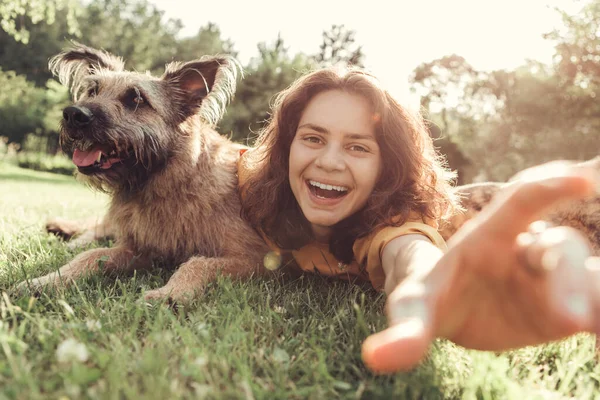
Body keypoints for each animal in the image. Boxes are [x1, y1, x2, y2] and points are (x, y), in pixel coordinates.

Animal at [15, 44, 268, 304]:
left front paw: (169, 295)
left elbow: (197, 264)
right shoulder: (138, 250)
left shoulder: (252, 259)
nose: (73, 114)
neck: (168, 182)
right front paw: (46, 281)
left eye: (136, 99)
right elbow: (94, 254)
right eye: (93, 91)